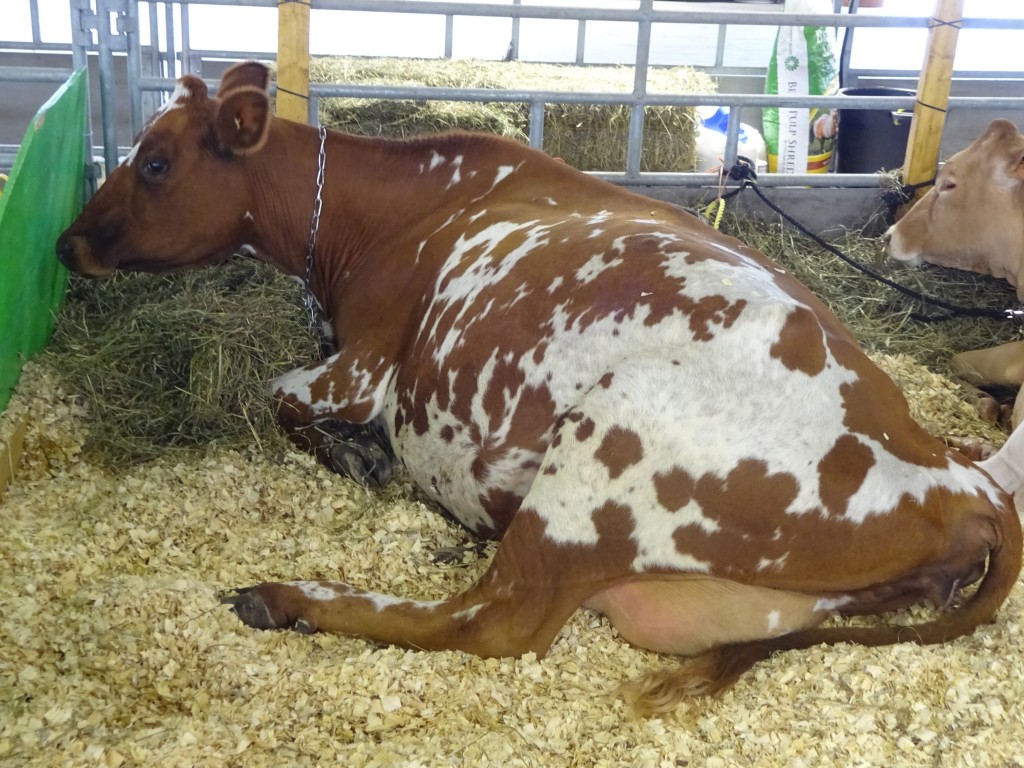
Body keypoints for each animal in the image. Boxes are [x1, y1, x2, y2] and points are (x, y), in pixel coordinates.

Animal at [58, 63, 1024, 720]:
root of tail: (956, 482)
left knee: (493, 620)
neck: (393, 213)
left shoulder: (364, 364)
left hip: (596, 457)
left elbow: (277, 395)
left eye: (154, 162)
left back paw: (290, 597)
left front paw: (353, 454)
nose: (66, 243)